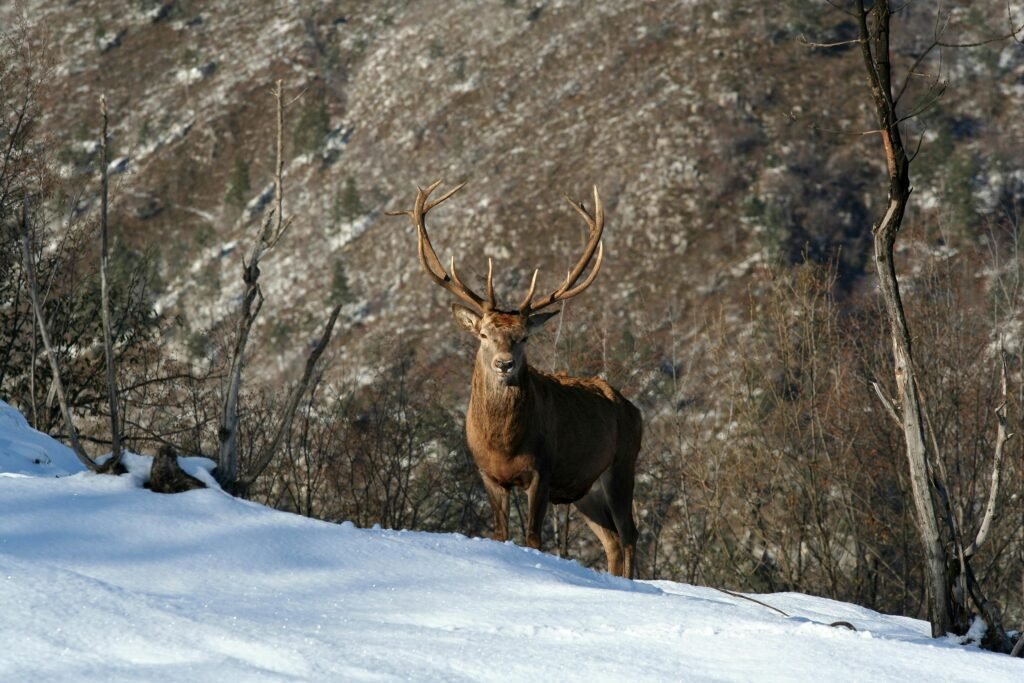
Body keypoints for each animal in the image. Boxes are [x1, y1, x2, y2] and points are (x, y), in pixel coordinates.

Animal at [390, 180, 643, 578]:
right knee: (613, 540)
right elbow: (500, 534)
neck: (503, 444)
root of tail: (635, 410)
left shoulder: (543, 469)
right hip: (586, 489)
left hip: (622, 464)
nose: (504, 364)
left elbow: (533, 539)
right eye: (483, 334)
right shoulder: (488, 474)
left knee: (630, 533)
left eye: (523, 337)